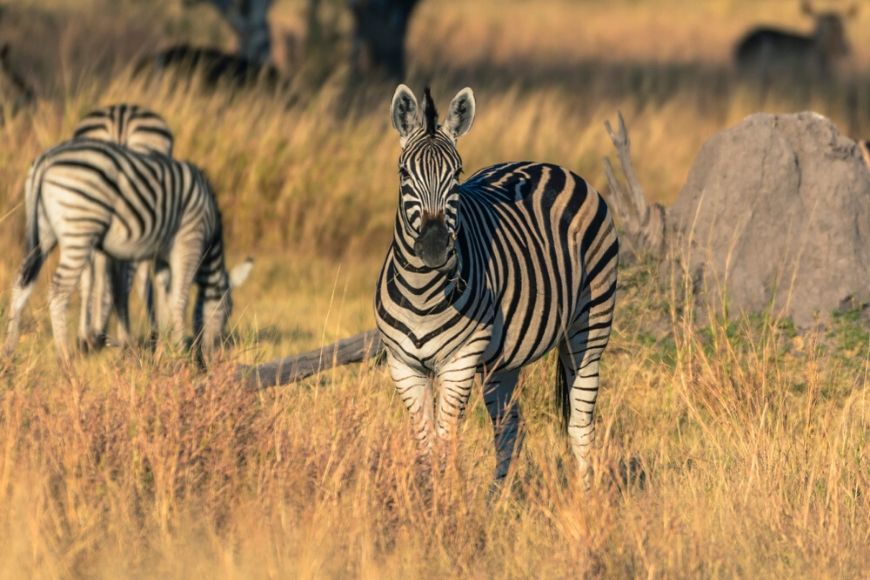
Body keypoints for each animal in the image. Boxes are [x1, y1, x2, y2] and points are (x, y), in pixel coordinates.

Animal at [3, 138, 240, 364]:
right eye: (228, 311)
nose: (212, 359)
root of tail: (46, 160)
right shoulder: (189, 241)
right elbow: (179, 300)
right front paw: (180, 353)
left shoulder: (163, 256)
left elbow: (165, 300)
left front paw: (164, 352)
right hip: (80, 228)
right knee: (58, 290)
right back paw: (65, 360)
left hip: (44, 232)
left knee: (21, 281)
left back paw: (8, 353)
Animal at [375, 85, 618, 487]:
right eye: (403, 173)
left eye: (457, 173)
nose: (434, 247)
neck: (422, 292)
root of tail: (548, 165)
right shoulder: (403, 365)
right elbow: (425, 444)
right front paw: (426, 498)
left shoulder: (460, 361)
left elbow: (444, 439)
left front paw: (445, 499)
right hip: (503, 358)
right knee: (510, 429)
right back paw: (499, 498)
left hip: (590, 326)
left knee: (581, 424)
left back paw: (586, 496)